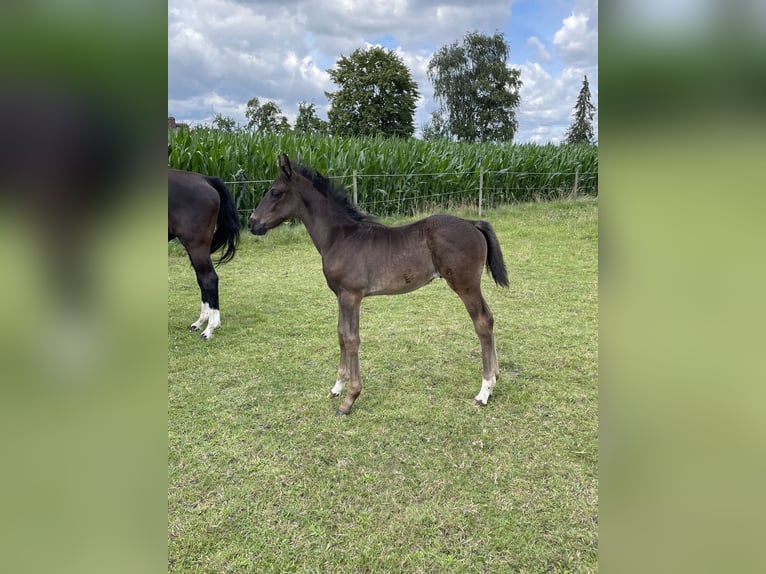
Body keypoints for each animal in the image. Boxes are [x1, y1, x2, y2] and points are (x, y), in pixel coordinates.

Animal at [170, 169, 242, 340]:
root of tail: (204, 179)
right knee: (202, 280)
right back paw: (200, 322)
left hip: (197, 246)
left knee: (209, 279)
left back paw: (210, 328)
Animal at [250, 155, 510, 416]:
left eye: (274, 192)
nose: (252, 224)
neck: (339, 237)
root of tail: (472, 223)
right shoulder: (340, 295)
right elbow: (341, 335)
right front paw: (336, 388)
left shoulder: (352, 295)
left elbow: (352, 339)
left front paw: (350, 399)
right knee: (489, 318)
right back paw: (495, 378)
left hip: (466, 285)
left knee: (482, 322)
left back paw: (484, 391)